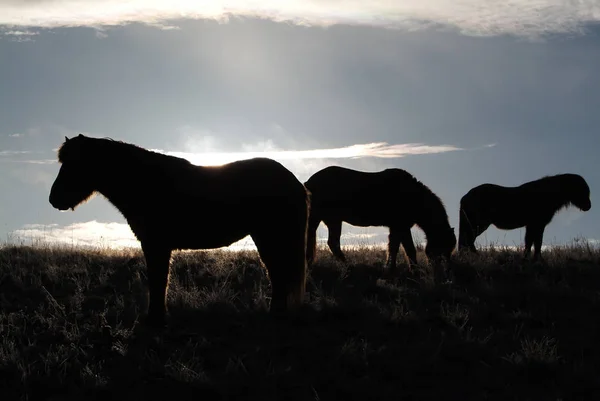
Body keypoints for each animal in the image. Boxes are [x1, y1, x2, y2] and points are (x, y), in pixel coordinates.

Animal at [48, 133, 310, 326]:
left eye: (74, 164)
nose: (54, 199)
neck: (143, 182)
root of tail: (295, 182)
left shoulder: (156, 245)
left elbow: (158, 280)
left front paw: (155, 319)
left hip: (270, 237)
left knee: (280, 273)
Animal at [304, 164, 454, 268]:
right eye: (443, 247)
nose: (446, 271)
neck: (412, 195)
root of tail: (308, 182)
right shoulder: (402, 226)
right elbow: (409, 249)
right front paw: (414, 270)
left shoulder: (397, 227)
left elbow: (394, 247)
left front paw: (391, 267)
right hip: (320, 218)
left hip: (332, 220)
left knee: (332, 243)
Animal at [460, 172, 592, 260]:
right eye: (582, 190)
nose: (589, 206)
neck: (548, 194)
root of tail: (465, 197)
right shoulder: (538, 224)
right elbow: (536, 242)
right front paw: (537, 259)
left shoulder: (532, 225)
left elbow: (530, 242)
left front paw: (528, 258)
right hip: (478, 224)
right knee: (468, 240)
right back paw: (476, 256)